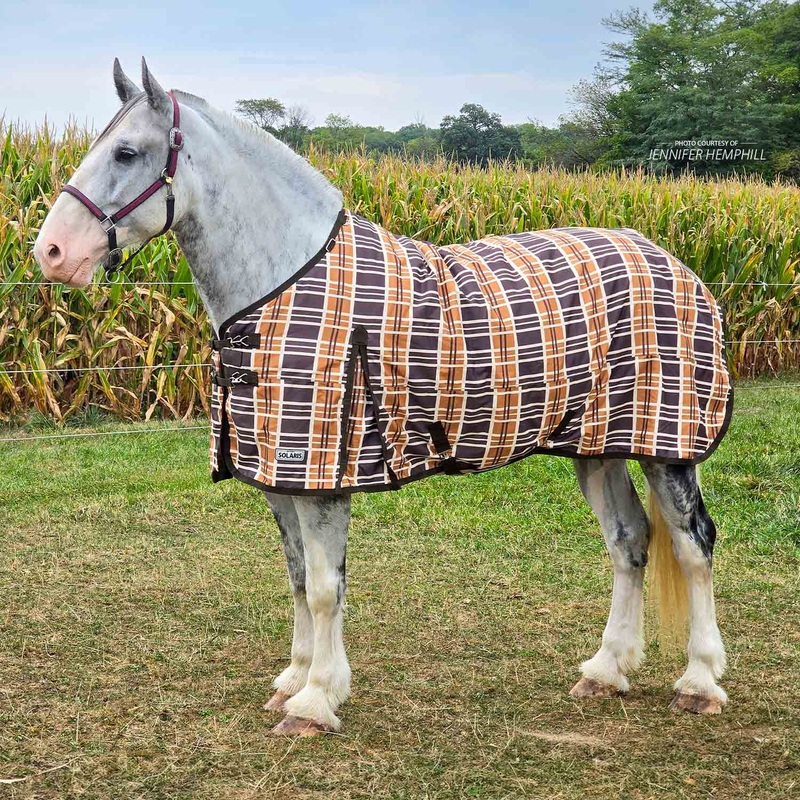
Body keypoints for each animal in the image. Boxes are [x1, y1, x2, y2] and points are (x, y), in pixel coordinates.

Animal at [34, 59, 731, 736]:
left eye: (126, 152)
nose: (51, 253)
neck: (284, 284)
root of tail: (671, 262)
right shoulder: (278, 475)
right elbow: (296, 577)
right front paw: (294, 679)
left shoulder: (324, 478)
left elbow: (323, 587)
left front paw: (316, 701)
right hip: (598, 447)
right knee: (629, 541)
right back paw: (606, 670)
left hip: (668, 448)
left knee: (693, 546)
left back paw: (699, 683)